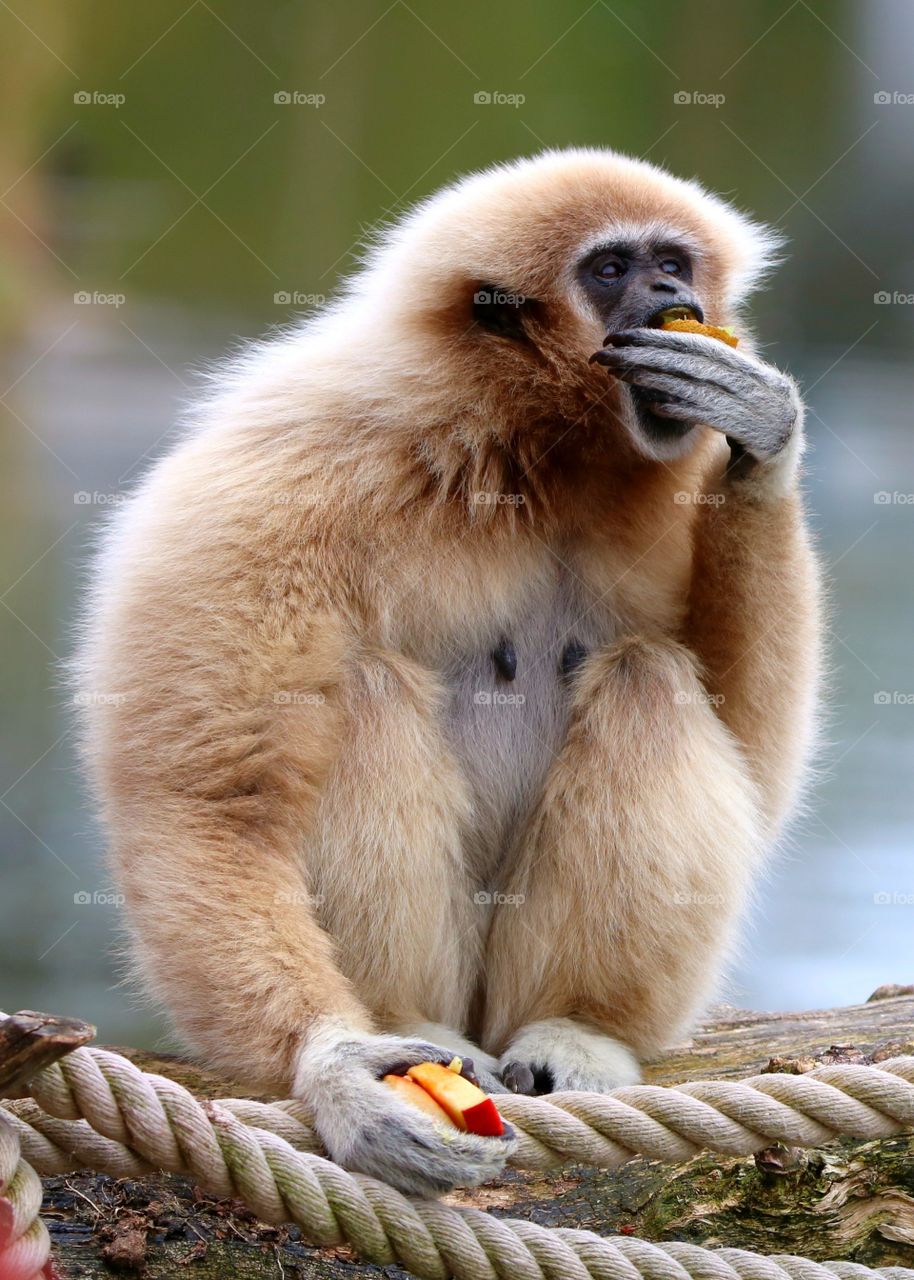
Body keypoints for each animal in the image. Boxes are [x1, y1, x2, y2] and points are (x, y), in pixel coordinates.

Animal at [77, 147, 822, 1196]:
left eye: (672, 260)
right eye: (612, 269)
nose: (673, 296)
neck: (530, 451)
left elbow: (756, 748)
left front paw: (762, 436)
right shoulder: (282, 473)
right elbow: (209, 804)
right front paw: (338, 1072)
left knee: (650, 678)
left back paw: (579, 1028)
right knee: (364, 691)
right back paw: (413, 1025)